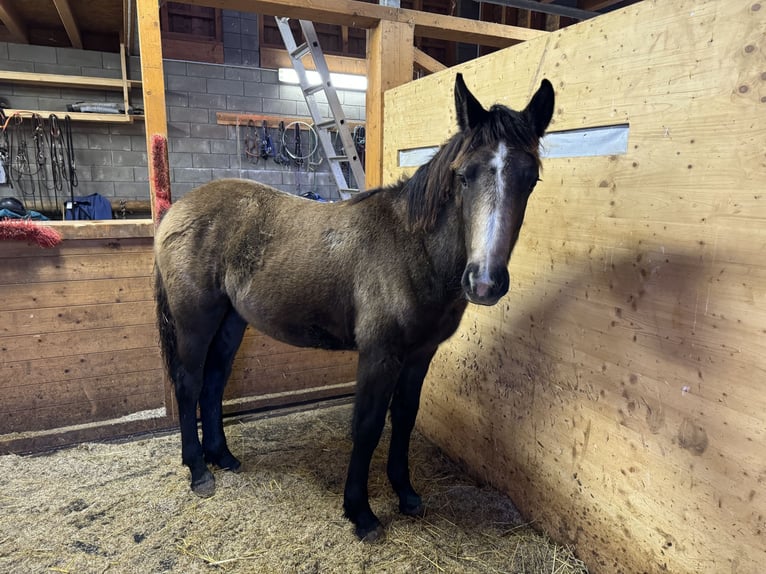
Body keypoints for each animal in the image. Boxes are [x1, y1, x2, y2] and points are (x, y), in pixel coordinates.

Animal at [153, 74, 556, 544]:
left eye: (530, 178)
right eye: (464, 176)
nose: (485, 282)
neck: (411, 248)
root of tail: (176, 210)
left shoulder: (419, 355)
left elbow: (404, 418)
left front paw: (406, 494)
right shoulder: (379, 355)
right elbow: (366, 427)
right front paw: (360, 513)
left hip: (231, 320)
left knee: (215, 381)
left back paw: (224, 457)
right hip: (195, 319)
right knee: (189, 383)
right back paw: (199, 470)